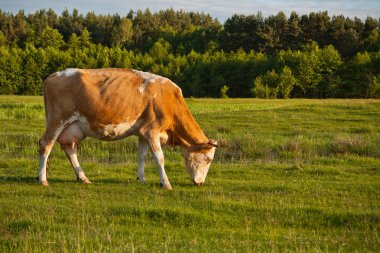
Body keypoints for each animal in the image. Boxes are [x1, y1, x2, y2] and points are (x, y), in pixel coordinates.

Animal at [39, 68, 218, 189]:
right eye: (208, 159)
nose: (201, 183)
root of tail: (53, 76)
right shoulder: (152, 130)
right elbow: (159, 158)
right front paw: (166, 183)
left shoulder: (143, 132)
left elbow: (142, 155)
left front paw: (141, 178)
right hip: (57, 120)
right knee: (45, 144)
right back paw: (42, 179)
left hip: (72, 127)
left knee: (70, 150)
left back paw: (83, 177)